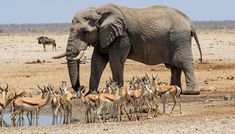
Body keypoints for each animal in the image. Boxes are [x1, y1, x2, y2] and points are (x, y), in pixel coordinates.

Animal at [52, 3, 202, 95]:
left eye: (84, 32)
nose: (80, 89)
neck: (99, 11)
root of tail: (189, 21)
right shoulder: (103, 37)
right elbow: (97, 62)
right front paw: (92, 93)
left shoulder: (122, 36)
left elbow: (115, 61)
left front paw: (117, 91)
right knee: (174, 67)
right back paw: (173, 90)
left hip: (179, 38)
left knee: (184, 63)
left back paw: (191, 92)